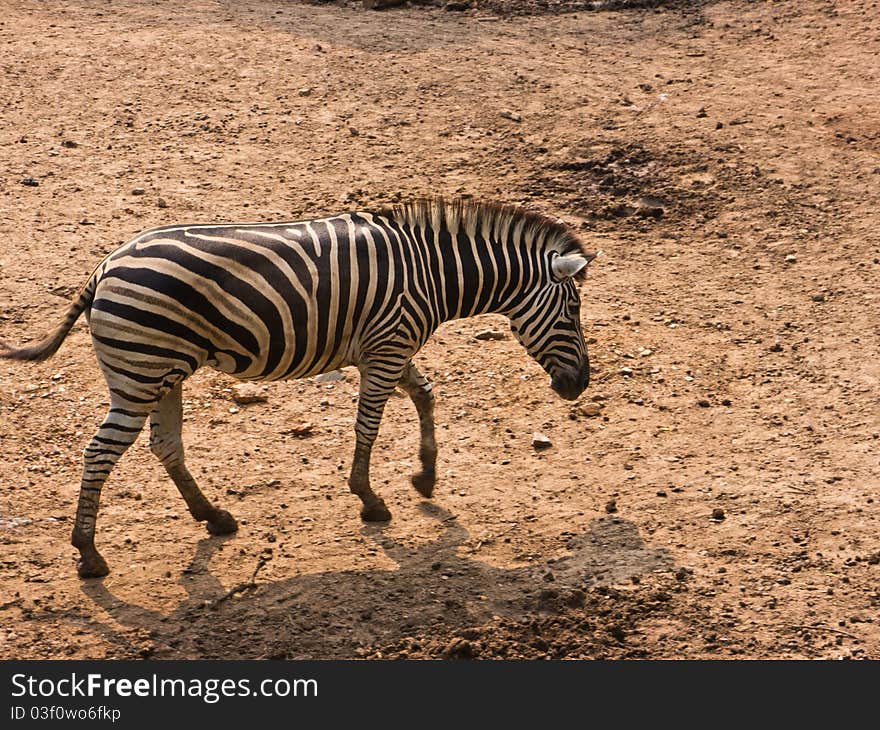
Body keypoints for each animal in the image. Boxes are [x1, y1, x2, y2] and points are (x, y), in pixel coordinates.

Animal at [1, 196, 592, 576]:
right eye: (573, 311)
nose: (579, 387)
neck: (432, 273)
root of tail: (104, 267)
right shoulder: (387, 347)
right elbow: (369, 425)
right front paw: (369, 498)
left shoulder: (387, 347)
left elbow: (425, 396)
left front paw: (424, 476)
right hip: (141, 372)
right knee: (99, 451)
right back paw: (88, 554)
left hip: (161, 371)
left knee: (165, 445)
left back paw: (213, 518)